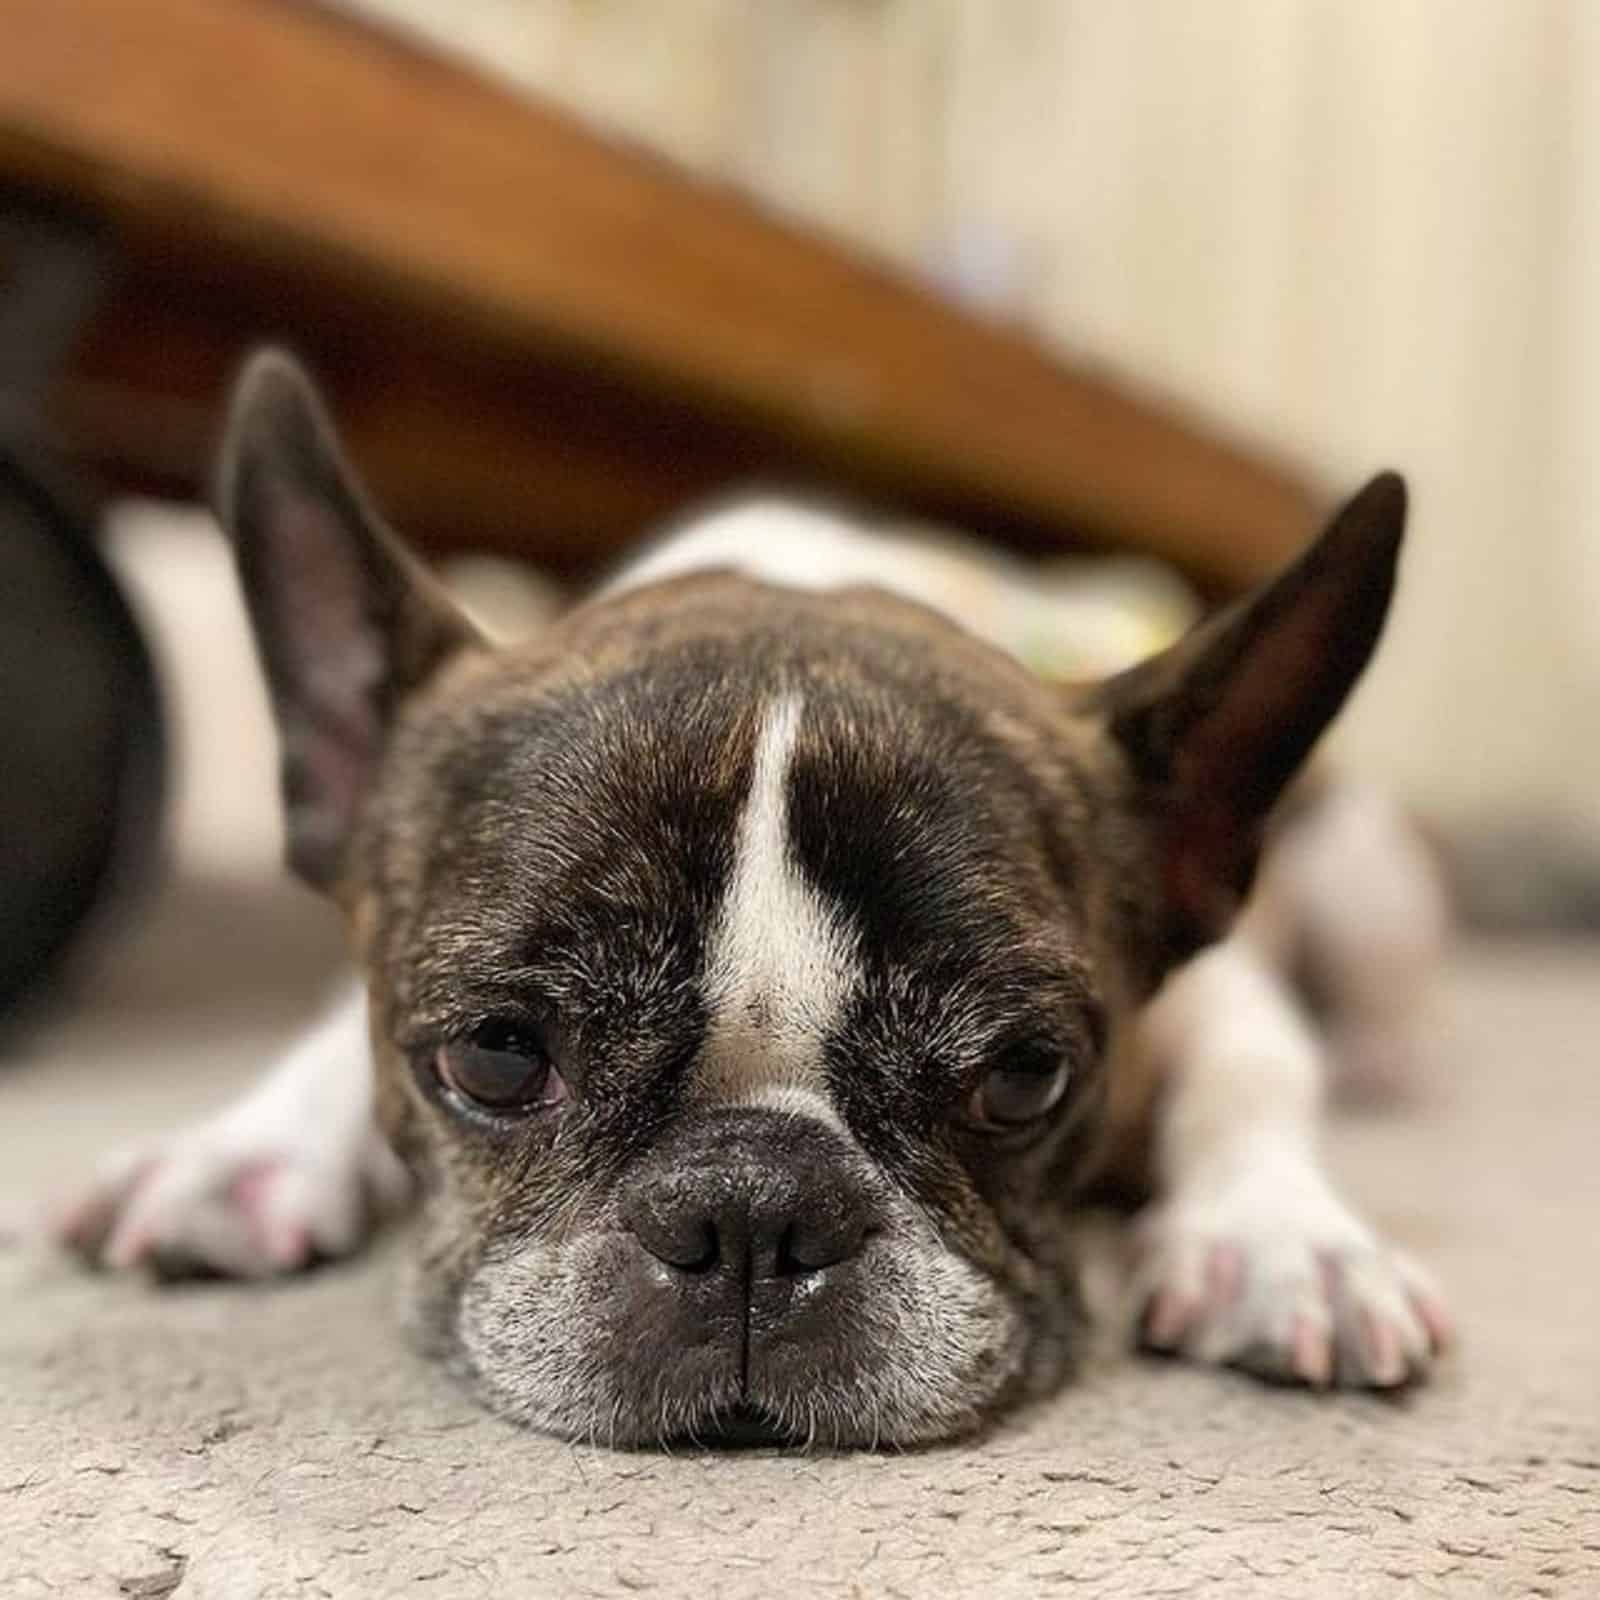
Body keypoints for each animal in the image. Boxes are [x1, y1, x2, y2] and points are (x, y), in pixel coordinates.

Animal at [53, 353, 1452, 1452]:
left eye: (1024, 1078)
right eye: (495, 1055)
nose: (748, 1206)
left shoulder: (1216, 995)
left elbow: (1252, 1079)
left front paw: (1282, 1240)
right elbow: (329, 1039)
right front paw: (245, 1149)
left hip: (1366, 876)